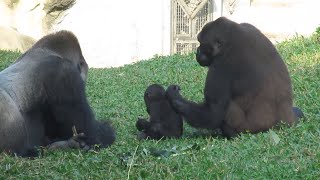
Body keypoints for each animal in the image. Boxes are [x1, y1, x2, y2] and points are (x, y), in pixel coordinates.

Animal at [166, 17, 304, 138]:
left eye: (201, 43)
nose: (197, 51)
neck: (232, 37)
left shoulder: (220, 65)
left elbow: (213, 113)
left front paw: (174, 96)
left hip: (248, 129)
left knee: (228, 108)